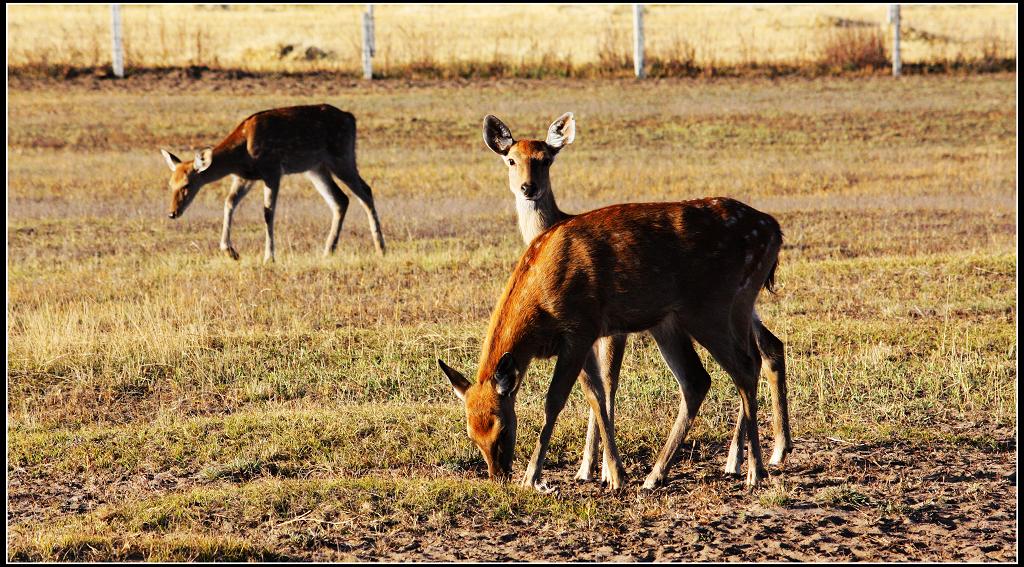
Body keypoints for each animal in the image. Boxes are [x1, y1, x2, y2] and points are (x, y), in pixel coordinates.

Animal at [159, 103, 385, 259]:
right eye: (170, 184)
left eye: (187, 185)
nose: (172, 213)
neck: (241, 155)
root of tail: (351, 118)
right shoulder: (245, 177)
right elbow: (229, 202)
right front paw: (230, 251)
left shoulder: (272, 170)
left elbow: (268, 212)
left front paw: (269, 257)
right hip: (316, 168)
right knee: (340, 199)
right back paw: (328, 250)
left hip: (342, 156)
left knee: (365, 191)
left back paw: (380, 248)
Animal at [452, 111, 794, 489]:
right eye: (470, 433)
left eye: (503, 427)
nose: (497, 475)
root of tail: (774, 229)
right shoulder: (590, 335)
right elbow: (597, 393)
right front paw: (606, 470)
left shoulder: (584, 328)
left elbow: (563, 397)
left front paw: (548, 475)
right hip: (685, 319)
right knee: (716, 371)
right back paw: (666, 473)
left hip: (713, 307)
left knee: (745, 366)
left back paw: (753, 469)